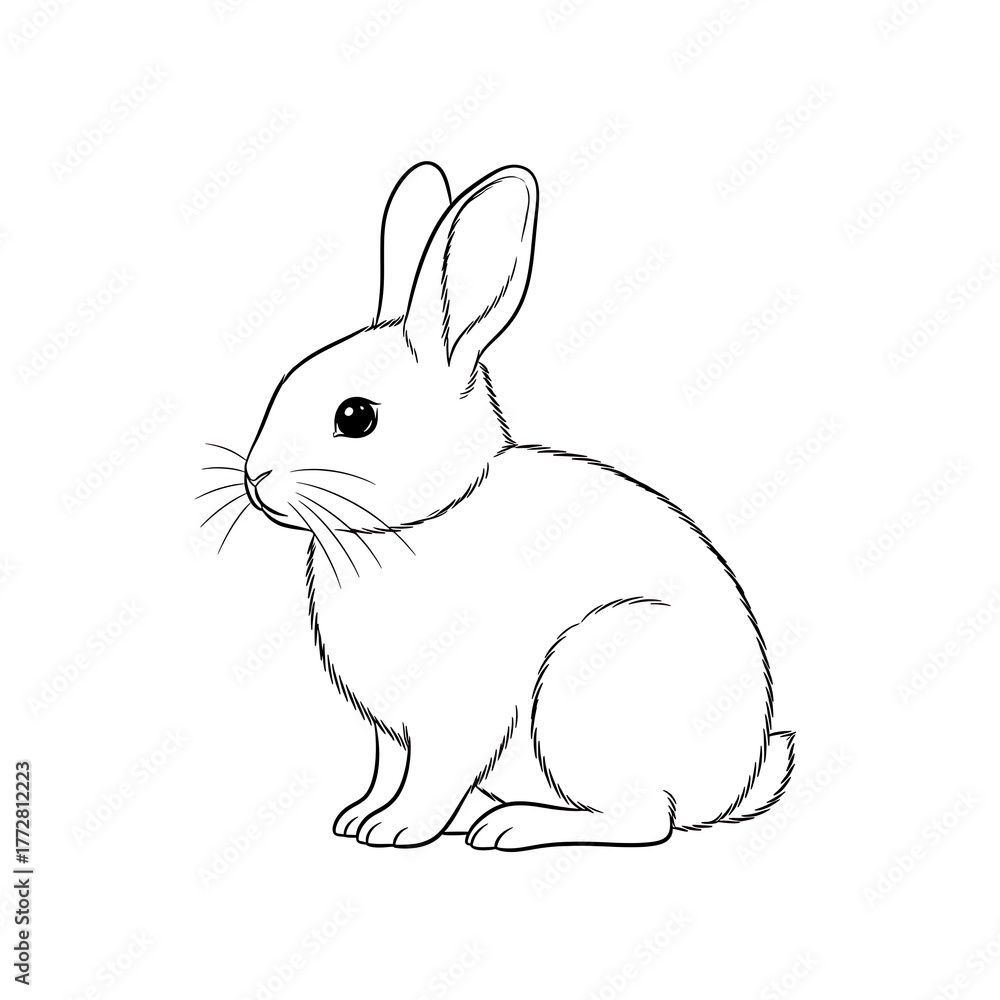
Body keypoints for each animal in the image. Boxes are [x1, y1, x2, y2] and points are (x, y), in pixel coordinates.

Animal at [235, 161, 795, 850]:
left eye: (356, 416)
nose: (256, 478)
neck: (423, 519)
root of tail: (731, 789)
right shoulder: (391, 730)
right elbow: (389, 767)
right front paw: (357, 817)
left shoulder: (458, 713)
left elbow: (432, 777)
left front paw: (396, 829)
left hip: (583, 688)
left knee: (642, 819)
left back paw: (508, 827)